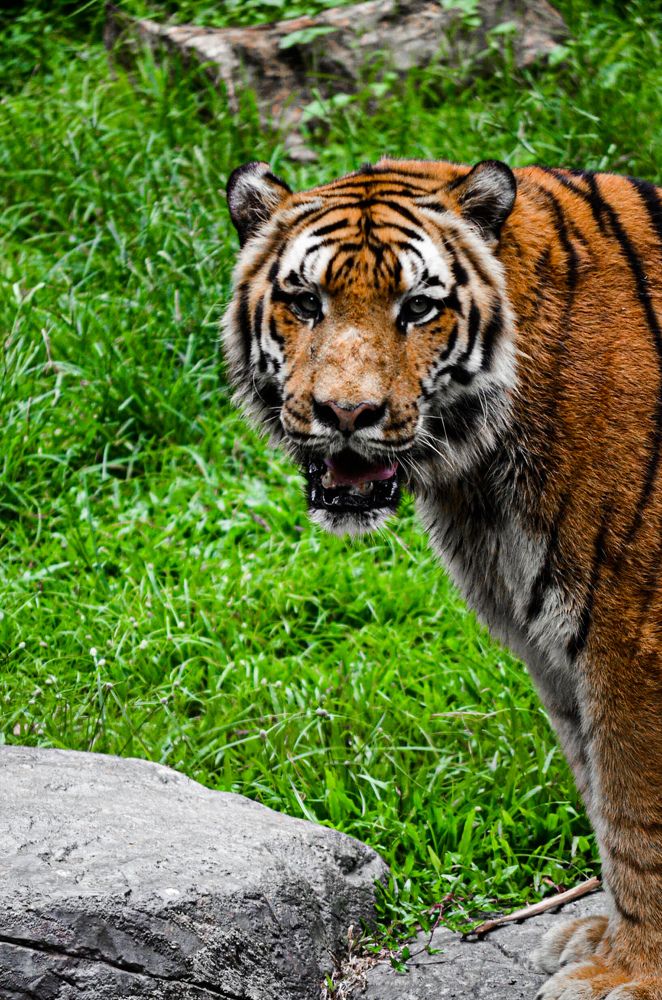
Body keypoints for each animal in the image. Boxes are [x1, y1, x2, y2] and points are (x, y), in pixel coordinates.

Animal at [223, 155, 662, 1000]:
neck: (480, 472)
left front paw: (631, 974)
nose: (346, 413)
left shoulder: (634, 636)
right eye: (305, 301)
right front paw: (604, 941)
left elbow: (639, 814)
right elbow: (602, 797)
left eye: (419, 307)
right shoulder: (556, 642)